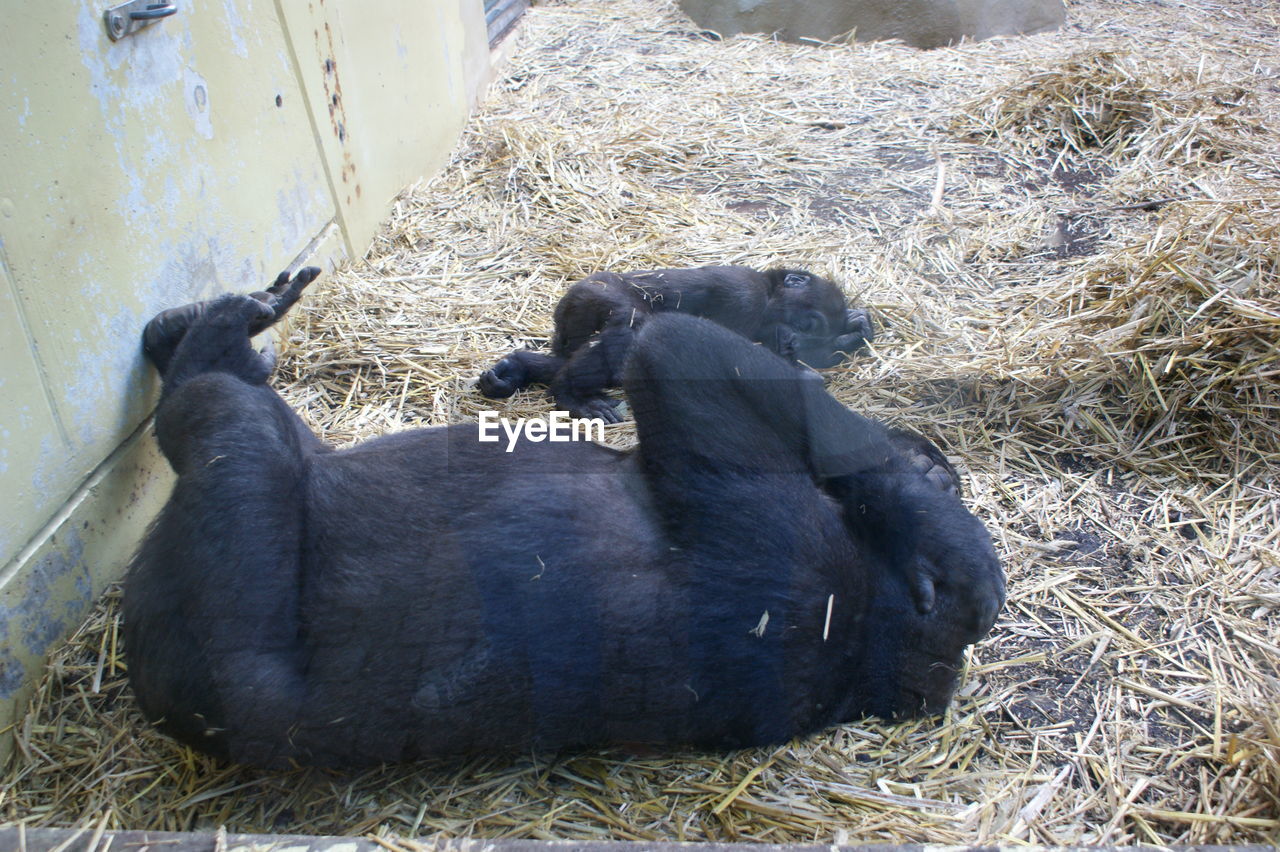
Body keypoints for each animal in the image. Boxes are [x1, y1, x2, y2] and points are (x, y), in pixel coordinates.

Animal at [476, 266, 875, 422]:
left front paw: (852, 331)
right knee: (628, 329)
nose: (793, 341)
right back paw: (570, 395)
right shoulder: (743, 297)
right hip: (592, 295)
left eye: (812, 336)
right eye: (806, 324)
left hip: (569, 328)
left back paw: (515, 370)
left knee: (574, 356)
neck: (770, 295)